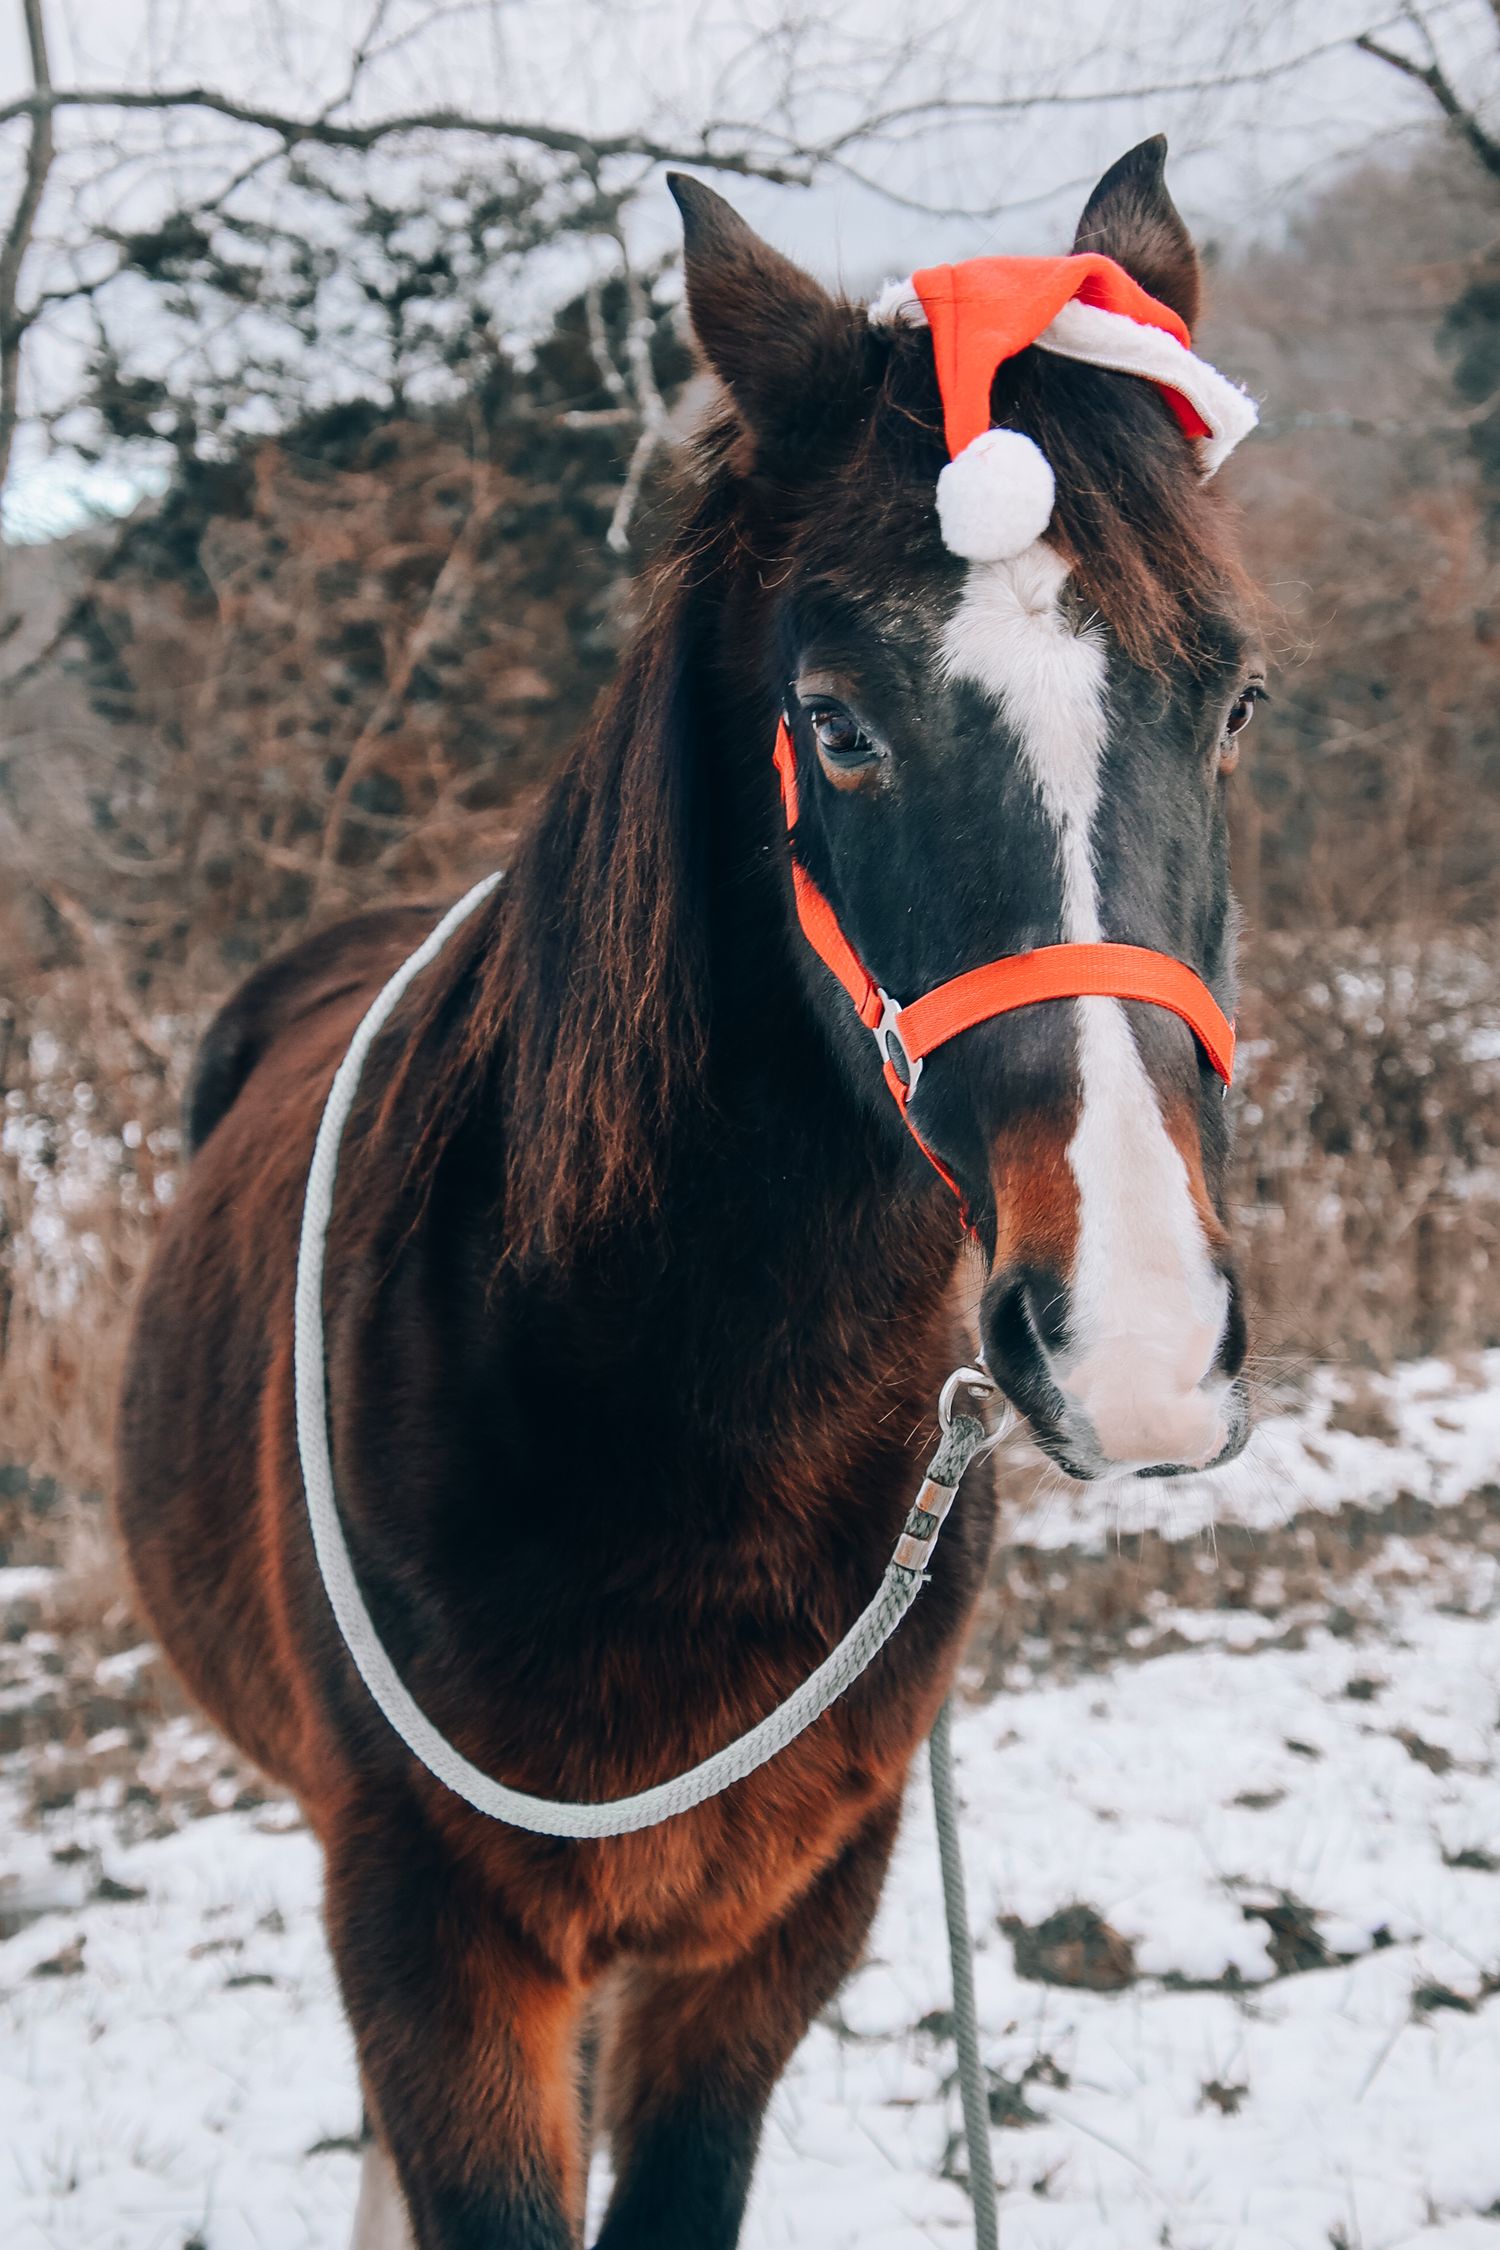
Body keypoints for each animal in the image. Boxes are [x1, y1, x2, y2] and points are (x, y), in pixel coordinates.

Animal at [116, 137, 1262, 2250]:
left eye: (1230, 704)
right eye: (840, 722)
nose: (1140, 1342)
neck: (663, 1418)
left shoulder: (775, 1935)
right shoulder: (432, 1941)